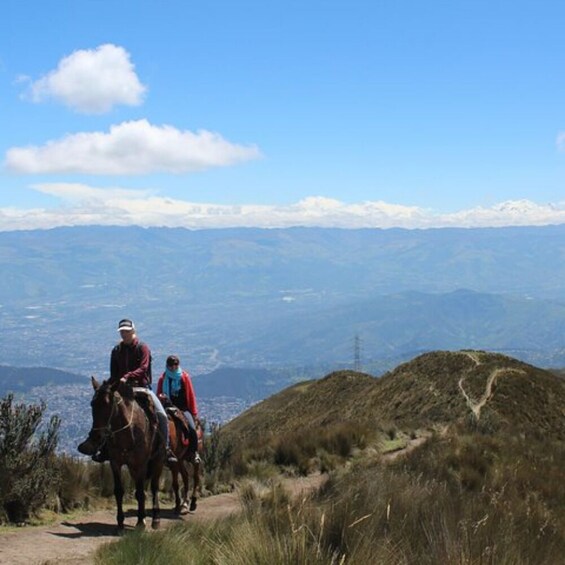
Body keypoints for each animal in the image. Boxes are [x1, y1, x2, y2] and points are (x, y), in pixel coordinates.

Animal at [77, 376, 165, 532]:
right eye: (92, 404)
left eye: (107, 404)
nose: (96, 437)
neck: (128, 433)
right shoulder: (116, 463)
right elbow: (119, 491)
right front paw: (120, 522)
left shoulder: (140, 464)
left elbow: (141, 492)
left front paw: (140, 522)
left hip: (157, 461)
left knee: (154, 487)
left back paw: (155, 519)